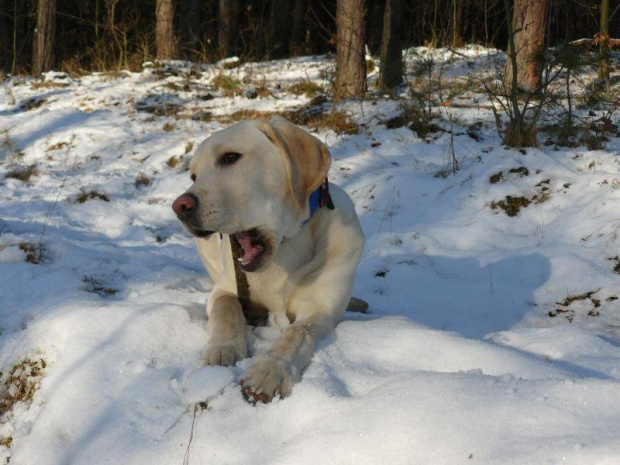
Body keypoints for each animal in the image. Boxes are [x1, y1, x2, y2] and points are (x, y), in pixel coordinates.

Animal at [172, 116, 366, 402]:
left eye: (230, 158)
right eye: (193, 176)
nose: (179, 207)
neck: (285, 249)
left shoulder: (321, 309)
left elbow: (296, 333)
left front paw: (268, 371)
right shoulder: (224, 290)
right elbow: (226, 309)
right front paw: (223, 350)